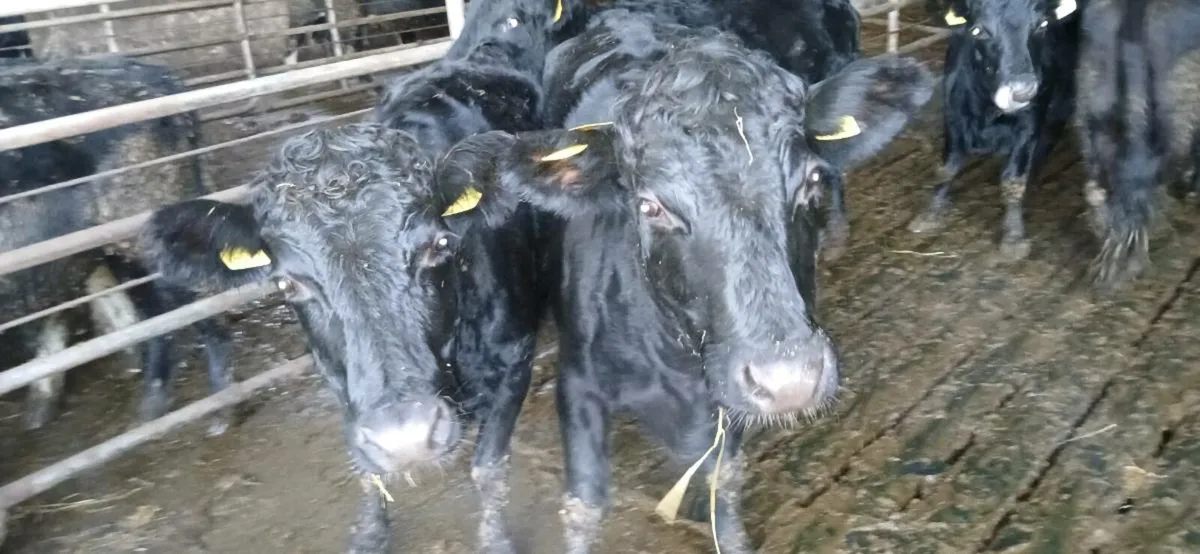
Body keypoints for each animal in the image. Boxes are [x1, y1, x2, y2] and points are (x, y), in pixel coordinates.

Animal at [443, 20, 934, 552]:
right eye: (650, 205)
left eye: (812, 181)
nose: (789, 381)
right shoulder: (578, 385)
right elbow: (584, 505)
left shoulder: (727, 387)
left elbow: (725, 483)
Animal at [907, 0, 1084, 260]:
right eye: (978, 31)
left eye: (1042, 24)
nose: (1022, 91)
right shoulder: (953, 116)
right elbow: (946, 169)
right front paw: (930, 214)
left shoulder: (1030, 122)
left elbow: (1013, 180)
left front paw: (1013, 237)